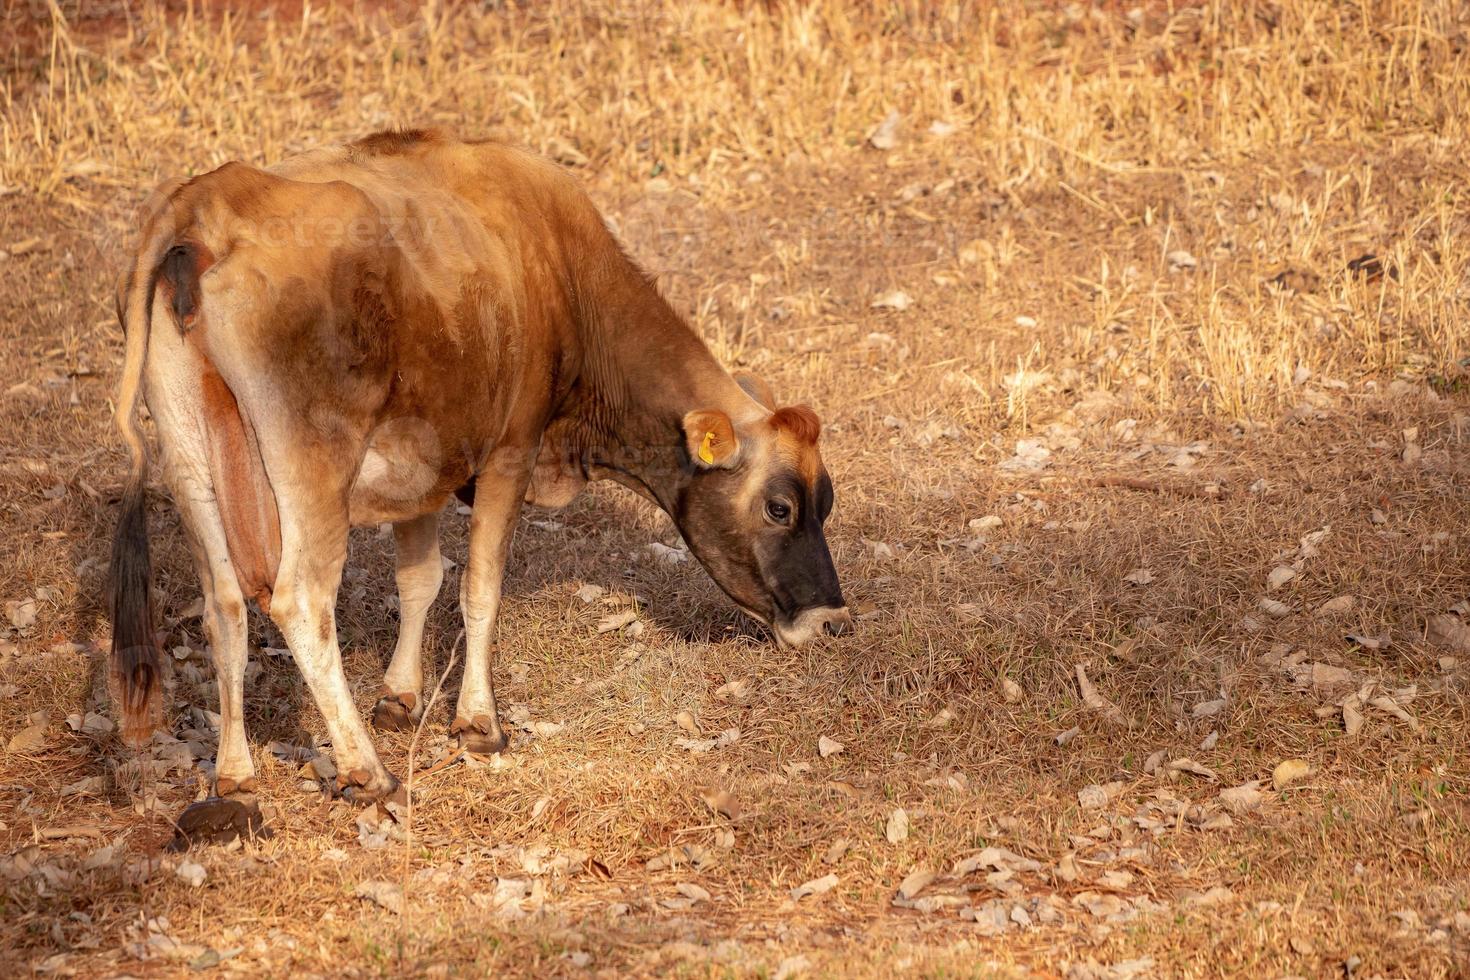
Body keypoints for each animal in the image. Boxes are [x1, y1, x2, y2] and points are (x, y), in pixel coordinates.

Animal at [108, 126, 852, 834]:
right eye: (780, 507)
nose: (830, 617)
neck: (559, 266)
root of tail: (209, 199)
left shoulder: (422, 460)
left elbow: (419, 578)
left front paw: (401, 694)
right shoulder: (510, 451)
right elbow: (479, 586)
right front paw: (477, 721)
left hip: (189, 459)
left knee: (225, 605)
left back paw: (235, 772)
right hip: (313, 465)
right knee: (299, 601)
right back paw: (365, 770)